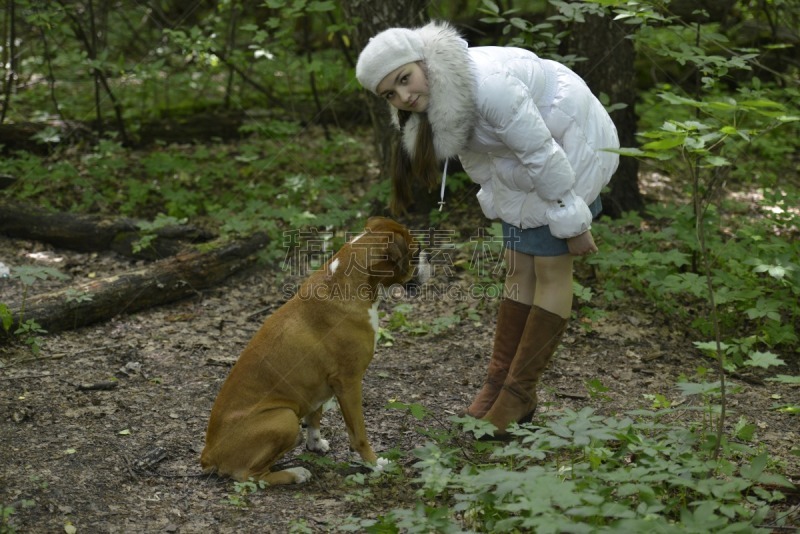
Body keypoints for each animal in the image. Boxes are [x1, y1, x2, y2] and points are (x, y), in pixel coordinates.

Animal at [200, 217, 432, 486]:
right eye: (416, 252)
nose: (429, 256)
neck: (348, 280)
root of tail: (208, 455)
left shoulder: (317, 387)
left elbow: (315, 416)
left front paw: (315, 444)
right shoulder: (349, 383)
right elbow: (358, 433)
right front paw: (374, 464)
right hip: (284, 418)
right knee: (249, 475)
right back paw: (295, 473)